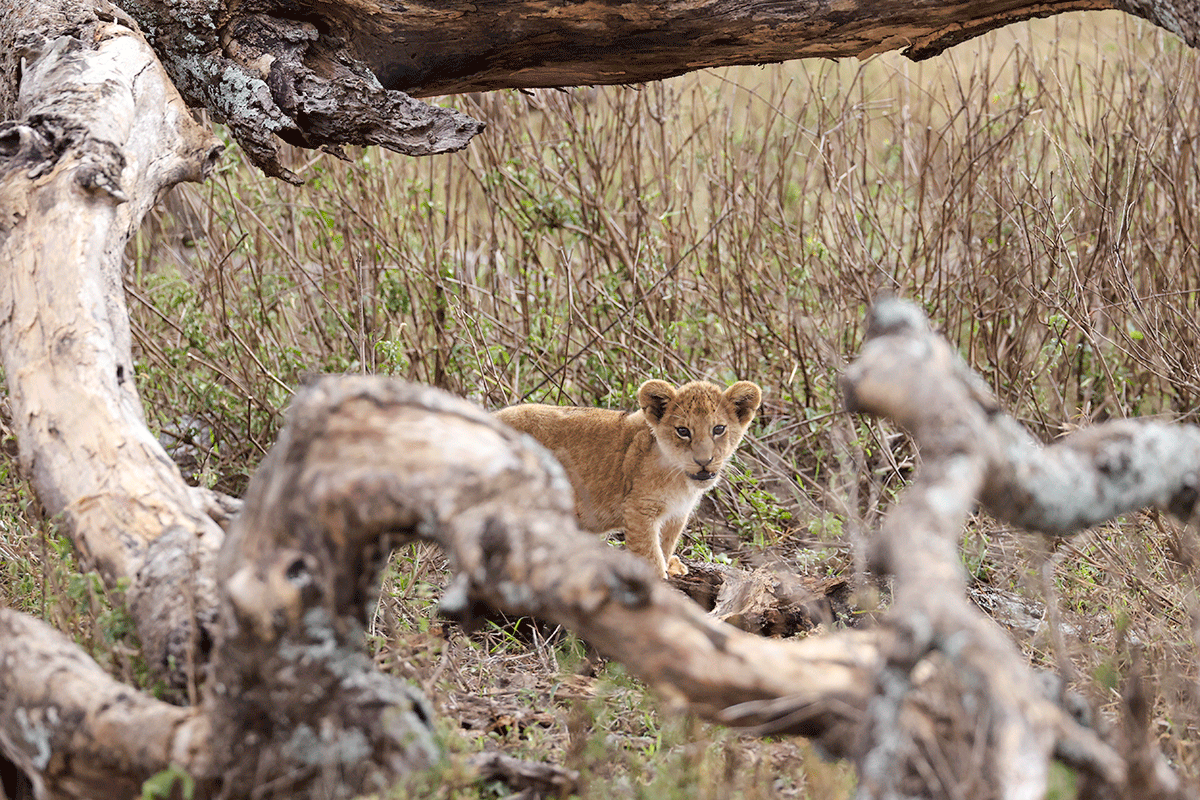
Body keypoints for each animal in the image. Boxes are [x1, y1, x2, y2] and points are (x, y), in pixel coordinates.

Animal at [495, 379, 762, 579]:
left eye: (718, 429)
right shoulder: (639, 509)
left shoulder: (677, 514)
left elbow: (666, 545)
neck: (681, 480)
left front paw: (671, 565)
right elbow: (650, 554)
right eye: (683, 431)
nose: (704, 461)